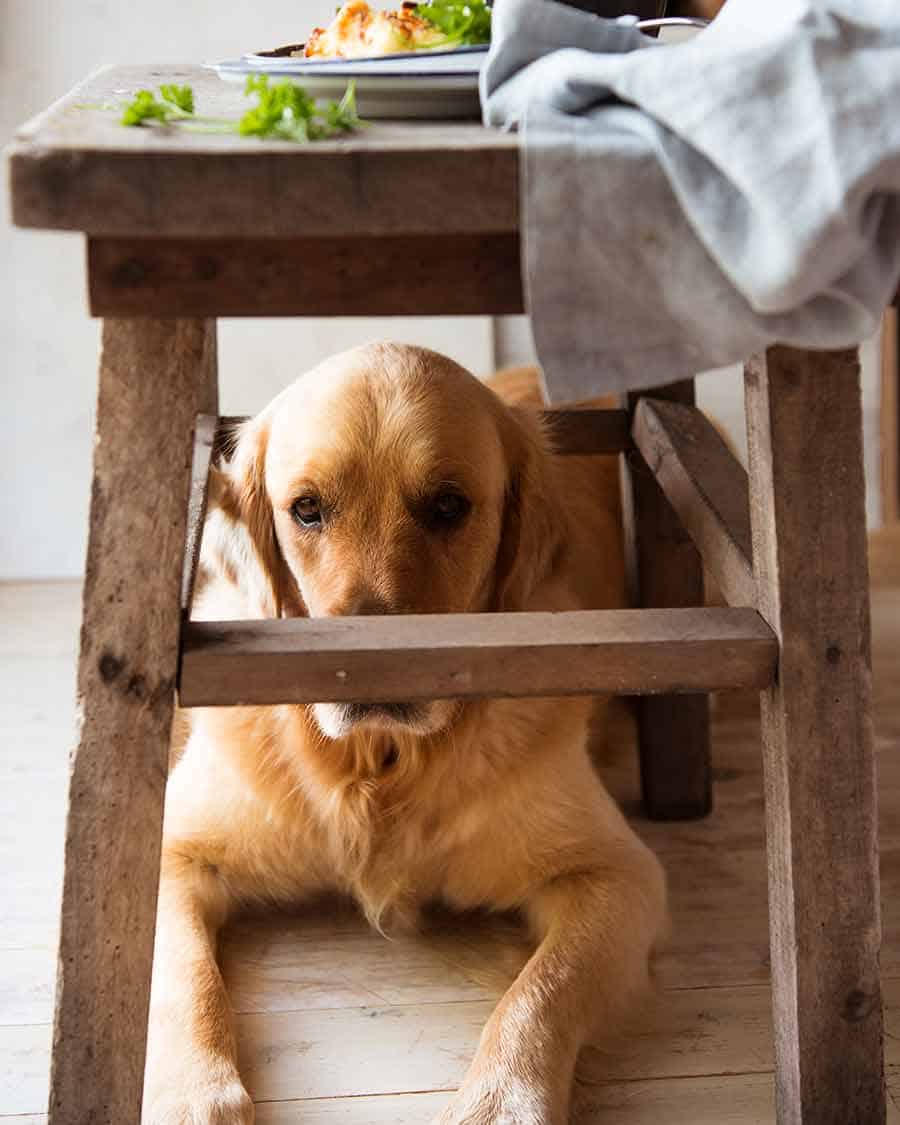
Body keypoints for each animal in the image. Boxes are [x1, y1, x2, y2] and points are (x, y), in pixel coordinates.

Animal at [144, 342, 666, 1125]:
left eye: (449, 506)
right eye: (306, 509)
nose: (371, 672)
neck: (381, 768)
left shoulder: (616, 873)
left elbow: (539, 991)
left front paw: (502, 1100)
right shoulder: (173, 853)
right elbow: (186, 983)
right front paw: (194, 1096)